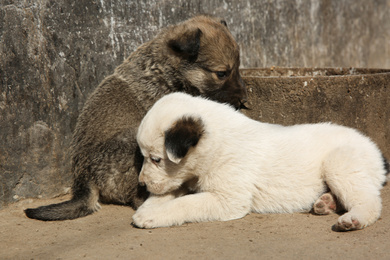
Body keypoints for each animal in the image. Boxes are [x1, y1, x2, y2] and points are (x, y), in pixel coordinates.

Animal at [24, 15, 245, 220]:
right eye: (222, 73)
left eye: (237, 68)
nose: (243, 99)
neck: (167, 69)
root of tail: (85, 180)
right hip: (134, 142)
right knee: (140, 196)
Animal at [133, 92, 388, 231]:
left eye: (156, 159)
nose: (141, 184)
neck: (217, 143)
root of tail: (376, 151)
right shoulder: (187, 178)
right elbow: (170, 192)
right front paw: (149, 206)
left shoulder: (229, 198)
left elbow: (187, 203)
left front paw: (152, 215)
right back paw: (326, 203)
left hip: (340, 162)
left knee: (369, 201)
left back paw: (353, 219)